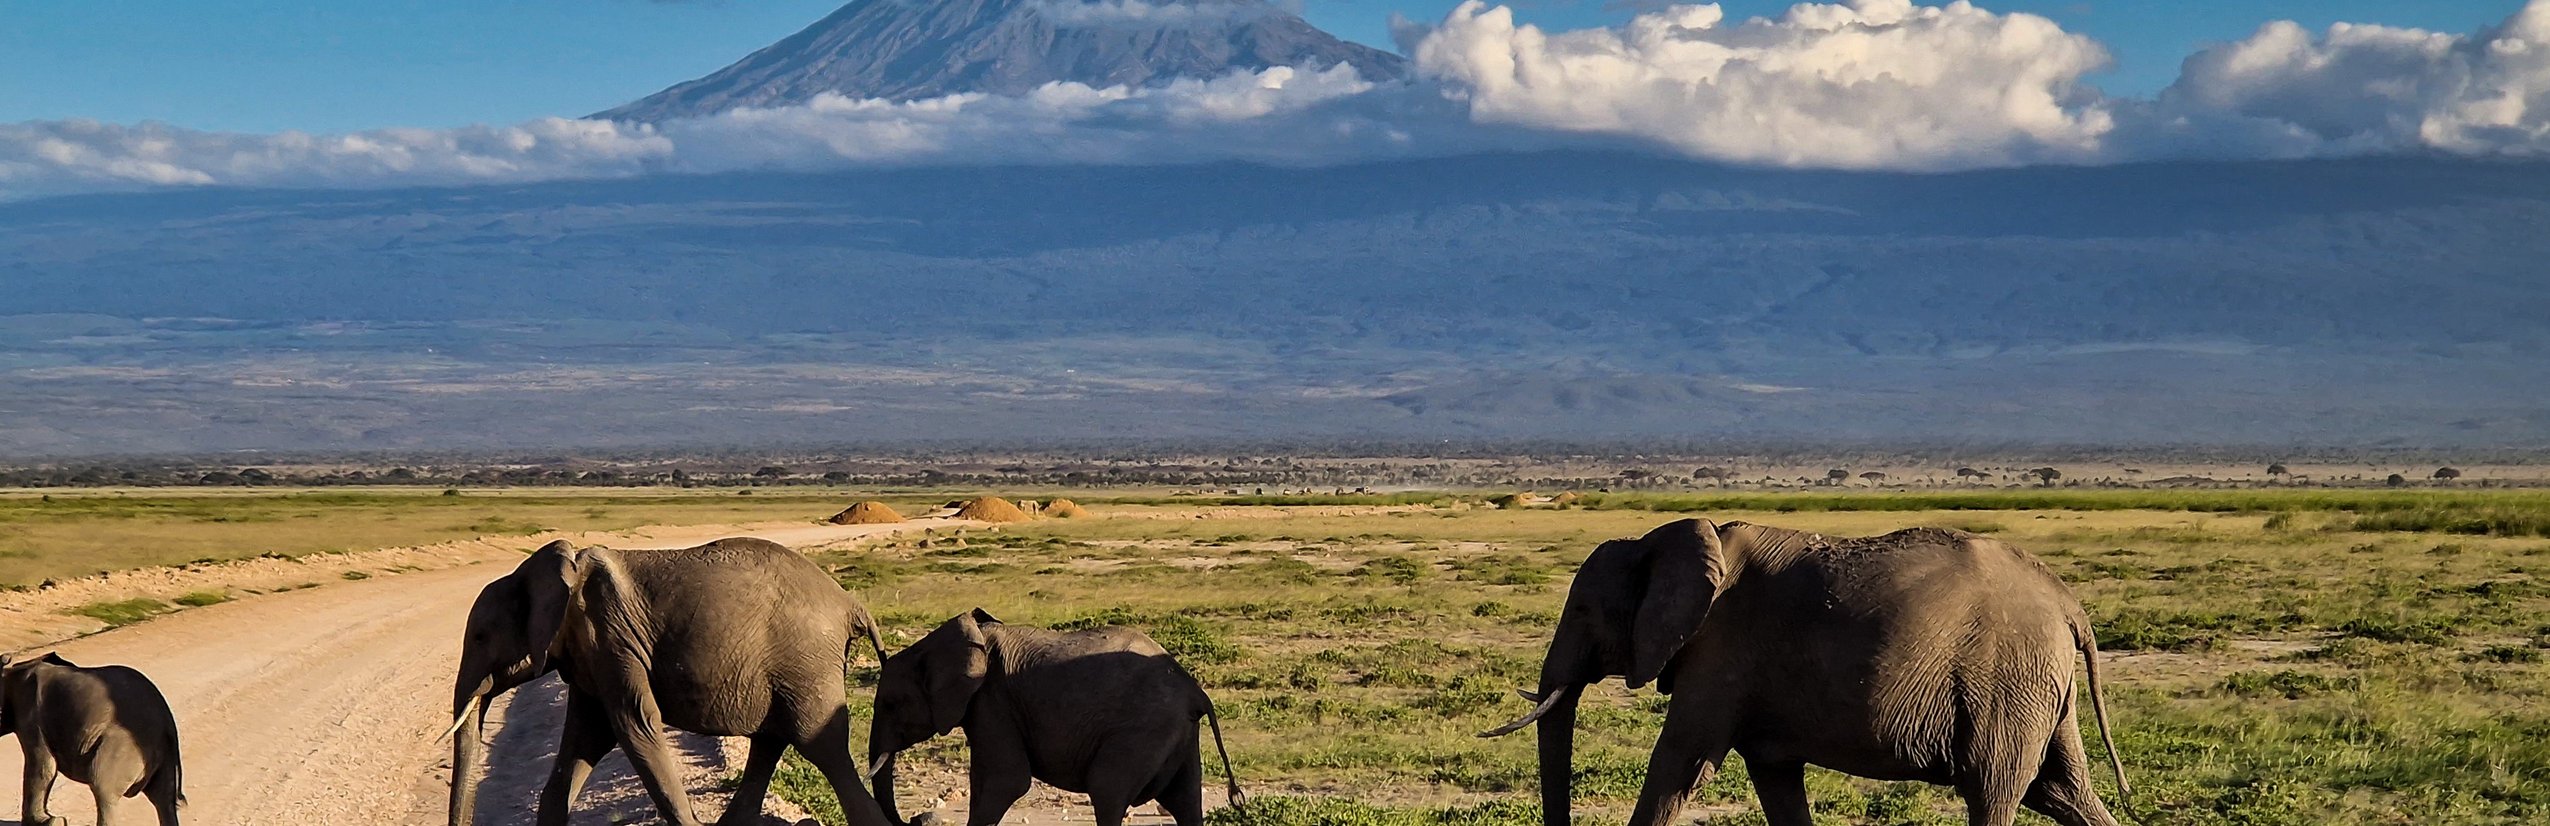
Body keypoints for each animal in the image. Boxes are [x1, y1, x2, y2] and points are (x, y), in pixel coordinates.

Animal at [0, 652, 184, 826]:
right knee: (164, 800)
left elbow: (42, 765)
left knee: (103, 787)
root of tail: (168, 724)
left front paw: (50, 822)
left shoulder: (31, 715)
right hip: (163, 757)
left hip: (122, 747)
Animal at [446, 535, 897, 826]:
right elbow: (584, 739)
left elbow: (636, 725)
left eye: (480, 636)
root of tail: (851, 603)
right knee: (771, 742)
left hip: (807, 664)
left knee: (822, 747)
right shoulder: (590, 653)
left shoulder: (610, 635)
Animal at [867, 606, 1244, 826]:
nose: (912, 821)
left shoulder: (993, 701)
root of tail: (1195, 691)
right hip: (1179, 736)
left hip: (1142, 732)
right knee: (1185, 801)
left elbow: (1006, 781)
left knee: (1108, 791)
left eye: (890, 704)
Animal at [1489, 520, 2121, 826]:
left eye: (1581, 610)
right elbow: (1775, 780)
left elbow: (1679, 765)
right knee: (2063, 794)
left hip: (2006, 678)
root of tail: (2069, 605)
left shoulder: (1720, 648)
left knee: (1993, 793)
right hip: (2038, 684)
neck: (1656, 541)